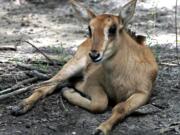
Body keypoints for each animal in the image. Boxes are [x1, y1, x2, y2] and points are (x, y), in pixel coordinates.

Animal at [11, 0, 158, 134]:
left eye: (112, 29)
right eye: (90, 28)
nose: (94, 55)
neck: (119, 76)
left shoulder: (143, 94)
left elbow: (120, 108)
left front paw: (102, 129)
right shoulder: (92, 83)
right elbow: (100, 104)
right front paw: (70, 92)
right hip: (72, 65)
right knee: (47, 85)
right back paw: (20, 106)